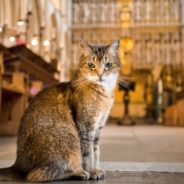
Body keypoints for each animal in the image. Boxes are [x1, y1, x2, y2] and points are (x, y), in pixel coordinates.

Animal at [0, 39, 121, 183]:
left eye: (108, 65)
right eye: (91, 65)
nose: (100, 75)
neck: (104, 93)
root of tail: (17, 166)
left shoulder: (98, 126)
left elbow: (96, 151)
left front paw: (96, 169)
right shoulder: (86, 127)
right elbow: (88, 153)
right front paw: (92, 171)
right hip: (68, 137)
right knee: (38, 174)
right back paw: (78, 173)